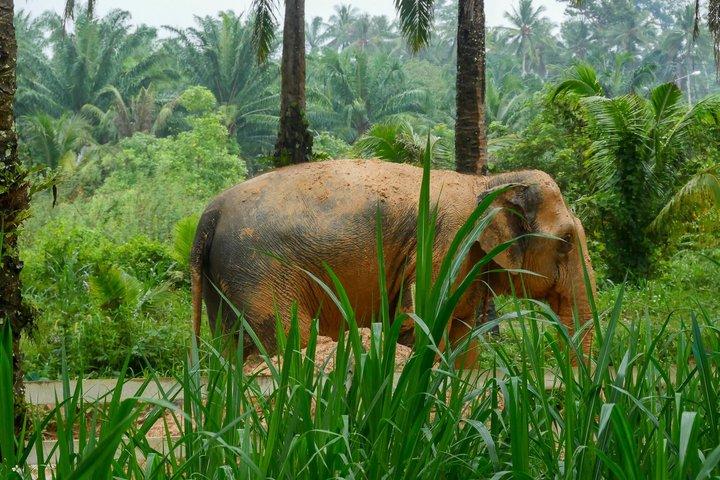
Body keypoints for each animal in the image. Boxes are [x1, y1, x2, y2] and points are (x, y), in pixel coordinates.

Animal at [190, 159, 596, 365]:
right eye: (565, 241)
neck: (485, 182)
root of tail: (210, 212)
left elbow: (463, 334)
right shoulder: (445, 244)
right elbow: (431, 325)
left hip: (226, 277)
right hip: (259, 272)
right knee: (287, 338)